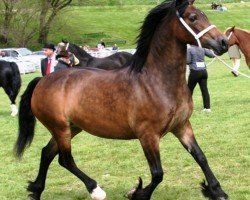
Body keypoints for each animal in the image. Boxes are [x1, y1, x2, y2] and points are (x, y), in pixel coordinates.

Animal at [14, 0, 229, 200]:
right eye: (193, 17)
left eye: (204, 14)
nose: (223, 42)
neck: (156, 82)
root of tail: (43, 80)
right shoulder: (148, 135)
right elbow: (157, 173)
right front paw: (137, 192)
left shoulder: (182, 126)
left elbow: (200, 157)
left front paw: (217, 191)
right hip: (60, 128)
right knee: (65, 160)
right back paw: (95, 189)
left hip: (71, 127)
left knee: (47, 153)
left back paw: (36, 190)